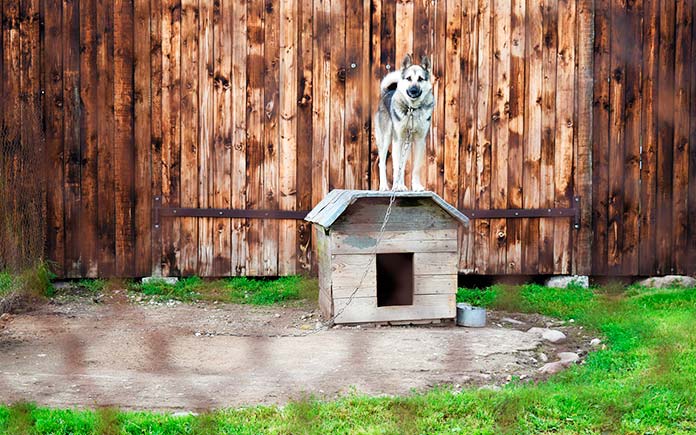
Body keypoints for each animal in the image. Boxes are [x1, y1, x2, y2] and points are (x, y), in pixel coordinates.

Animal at [376, 53, 436, 192]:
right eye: (409, 79)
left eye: (420, 79)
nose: (413, 90)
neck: (412, 110)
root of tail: (387, 92)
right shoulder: (398, 140)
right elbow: (396, 165)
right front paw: (397, 186)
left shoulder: (420, 141)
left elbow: (415, 168)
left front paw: (416, 186)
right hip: (386, 139)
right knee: (382, 163)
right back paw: (384, 186)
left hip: (407, 145)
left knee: (402, 165)